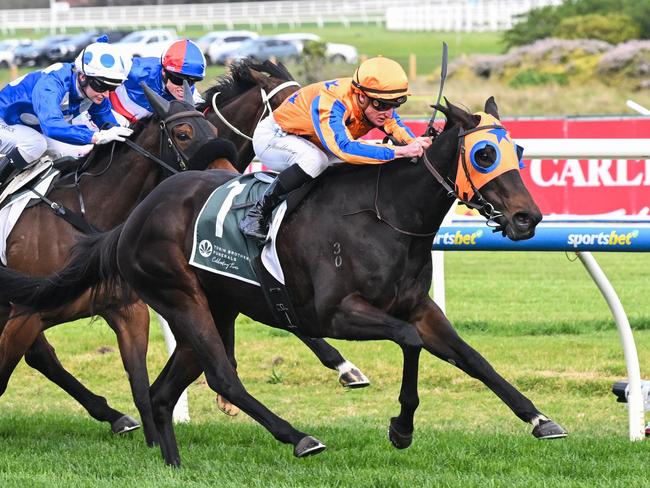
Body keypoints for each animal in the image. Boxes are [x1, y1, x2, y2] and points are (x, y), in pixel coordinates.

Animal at [0, 96, 564, 466]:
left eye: (517, 150)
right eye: (484, 155)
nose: (527, 219)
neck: (385, 215)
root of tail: (132, 219)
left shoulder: (418, 306)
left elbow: (471, 357)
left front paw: (540, 419)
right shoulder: (335, 313)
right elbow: (408, 342)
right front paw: (401, 428)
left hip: (210, 308)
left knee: (162, 391)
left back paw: (173, 462)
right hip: (181, 299)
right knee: (222, 376)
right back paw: (298, 437)